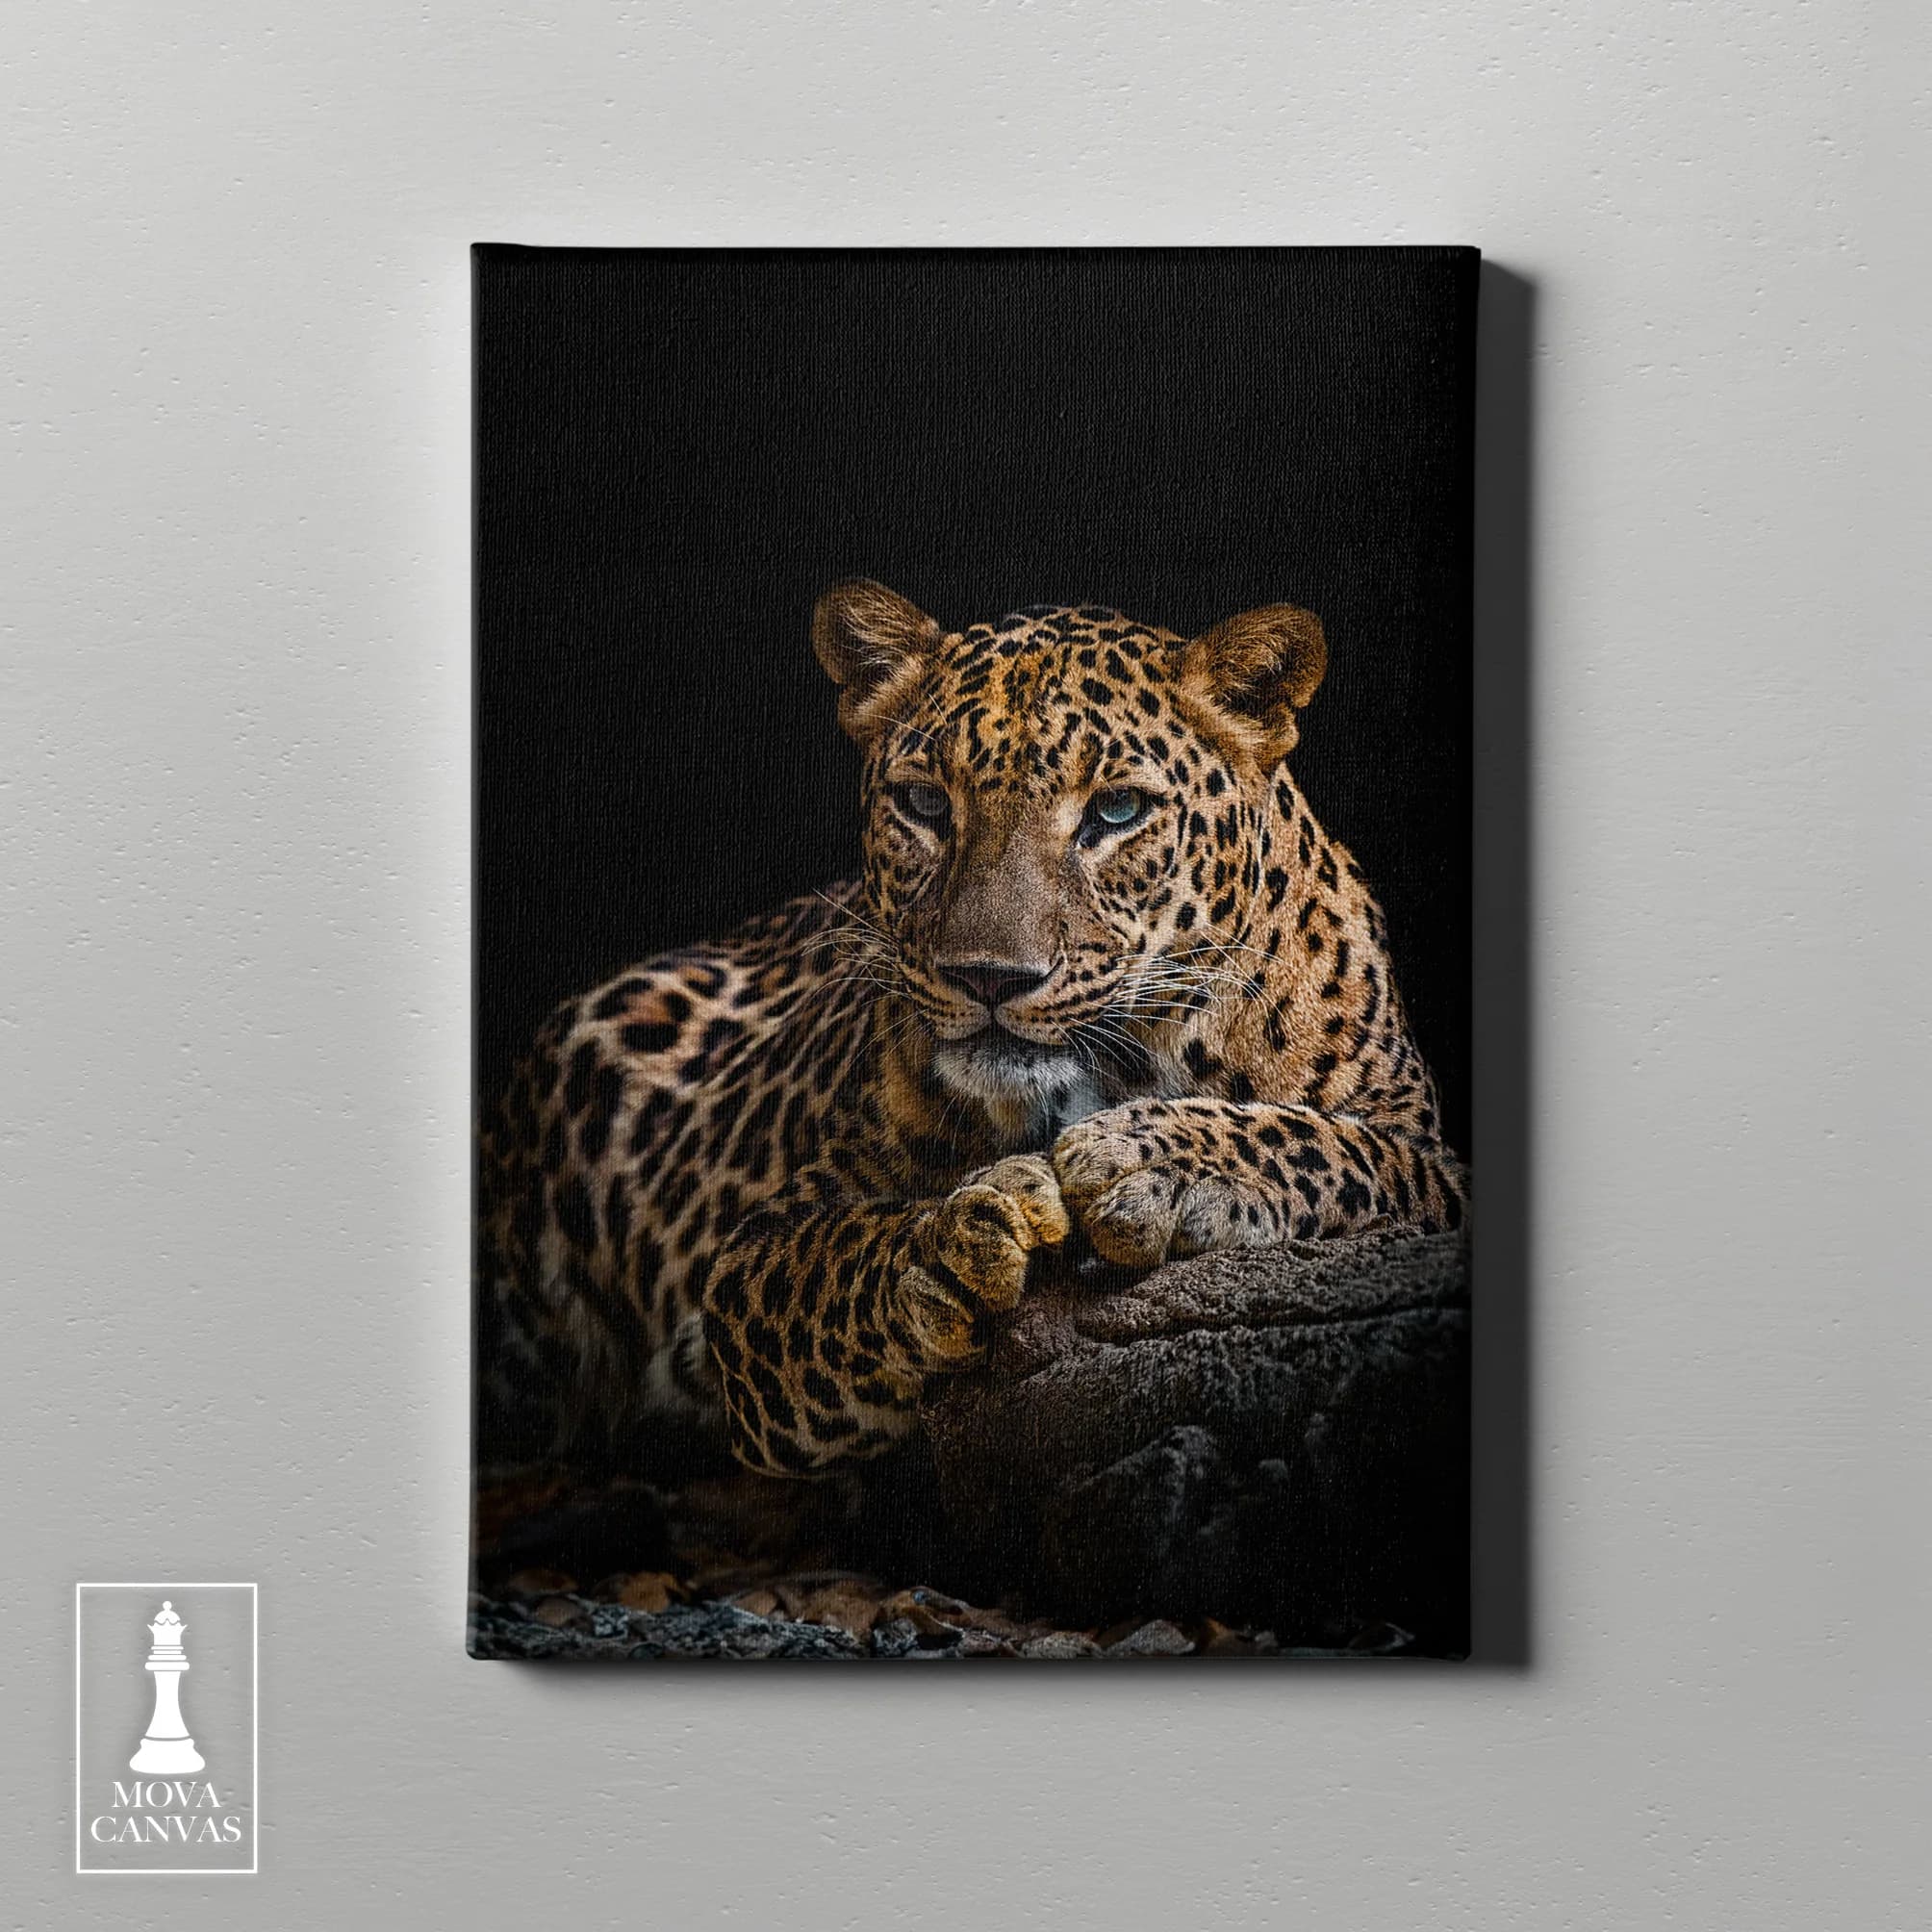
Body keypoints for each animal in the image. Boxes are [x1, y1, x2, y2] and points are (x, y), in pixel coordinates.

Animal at [477, 580, 1467, 1481]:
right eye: (923, 803)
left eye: (1116, 812)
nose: (989, 976)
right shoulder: (752, 1258)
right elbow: (838, 1258)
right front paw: (949, 1247)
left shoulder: (1430, 1161)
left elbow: (1331, 1145)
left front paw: (1151, 1160)